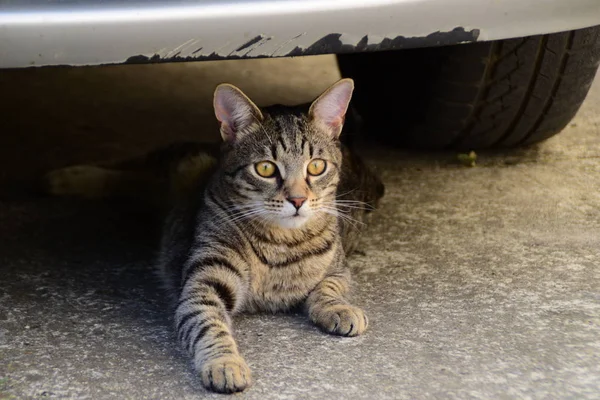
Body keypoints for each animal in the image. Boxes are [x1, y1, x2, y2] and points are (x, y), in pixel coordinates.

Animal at [45, 79, 384, 394]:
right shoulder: (204, 284)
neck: (281, 242)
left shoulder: (339, 268)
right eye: (265, 168)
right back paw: (64, 176)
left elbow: (328, 288)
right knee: (129, 171)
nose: (298, 200)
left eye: (316, 166)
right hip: (176, 159)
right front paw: (225, 363)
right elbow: (209, 325)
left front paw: (338, 308)